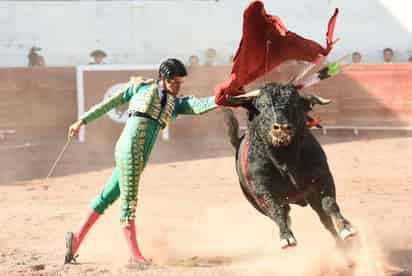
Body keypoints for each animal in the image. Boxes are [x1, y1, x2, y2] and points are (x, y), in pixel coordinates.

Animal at [224, 83, 356, 249]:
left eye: (294, 105)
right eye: (263, 105)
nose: (281, 127)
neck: (285, 157)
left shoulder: (323, 177)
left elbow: (330, 204)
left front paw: (347, 229)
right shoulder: (262, 189)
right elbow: (276, 210)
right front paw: (286, 238)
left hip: (312, 198)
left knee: (325, 220)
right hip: (257, 203)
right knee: (283, 213)